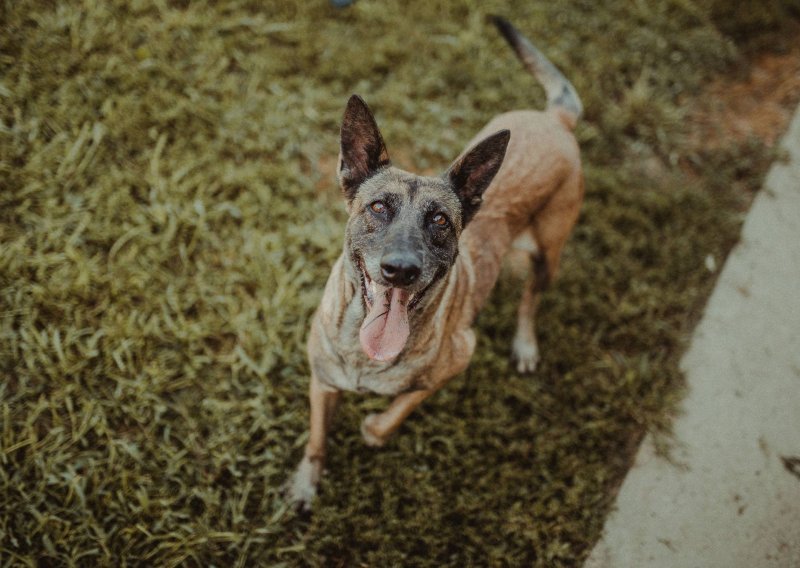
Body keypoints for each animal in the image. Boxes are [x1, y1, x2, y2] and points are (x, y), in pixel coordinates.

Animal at [286, 15, 580, 510]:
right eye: (378, 207)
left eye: (440, 220)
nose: (400, 270)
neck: (366, 350)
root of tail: (553, 119)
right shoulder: (321, 382)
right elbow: (316, 440)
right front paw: (307, 482)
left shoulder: (461, 354)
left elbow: (397, 410)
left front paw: (374, 429)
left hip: (550, 252)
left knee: (531, 299)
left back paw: (524, 344)